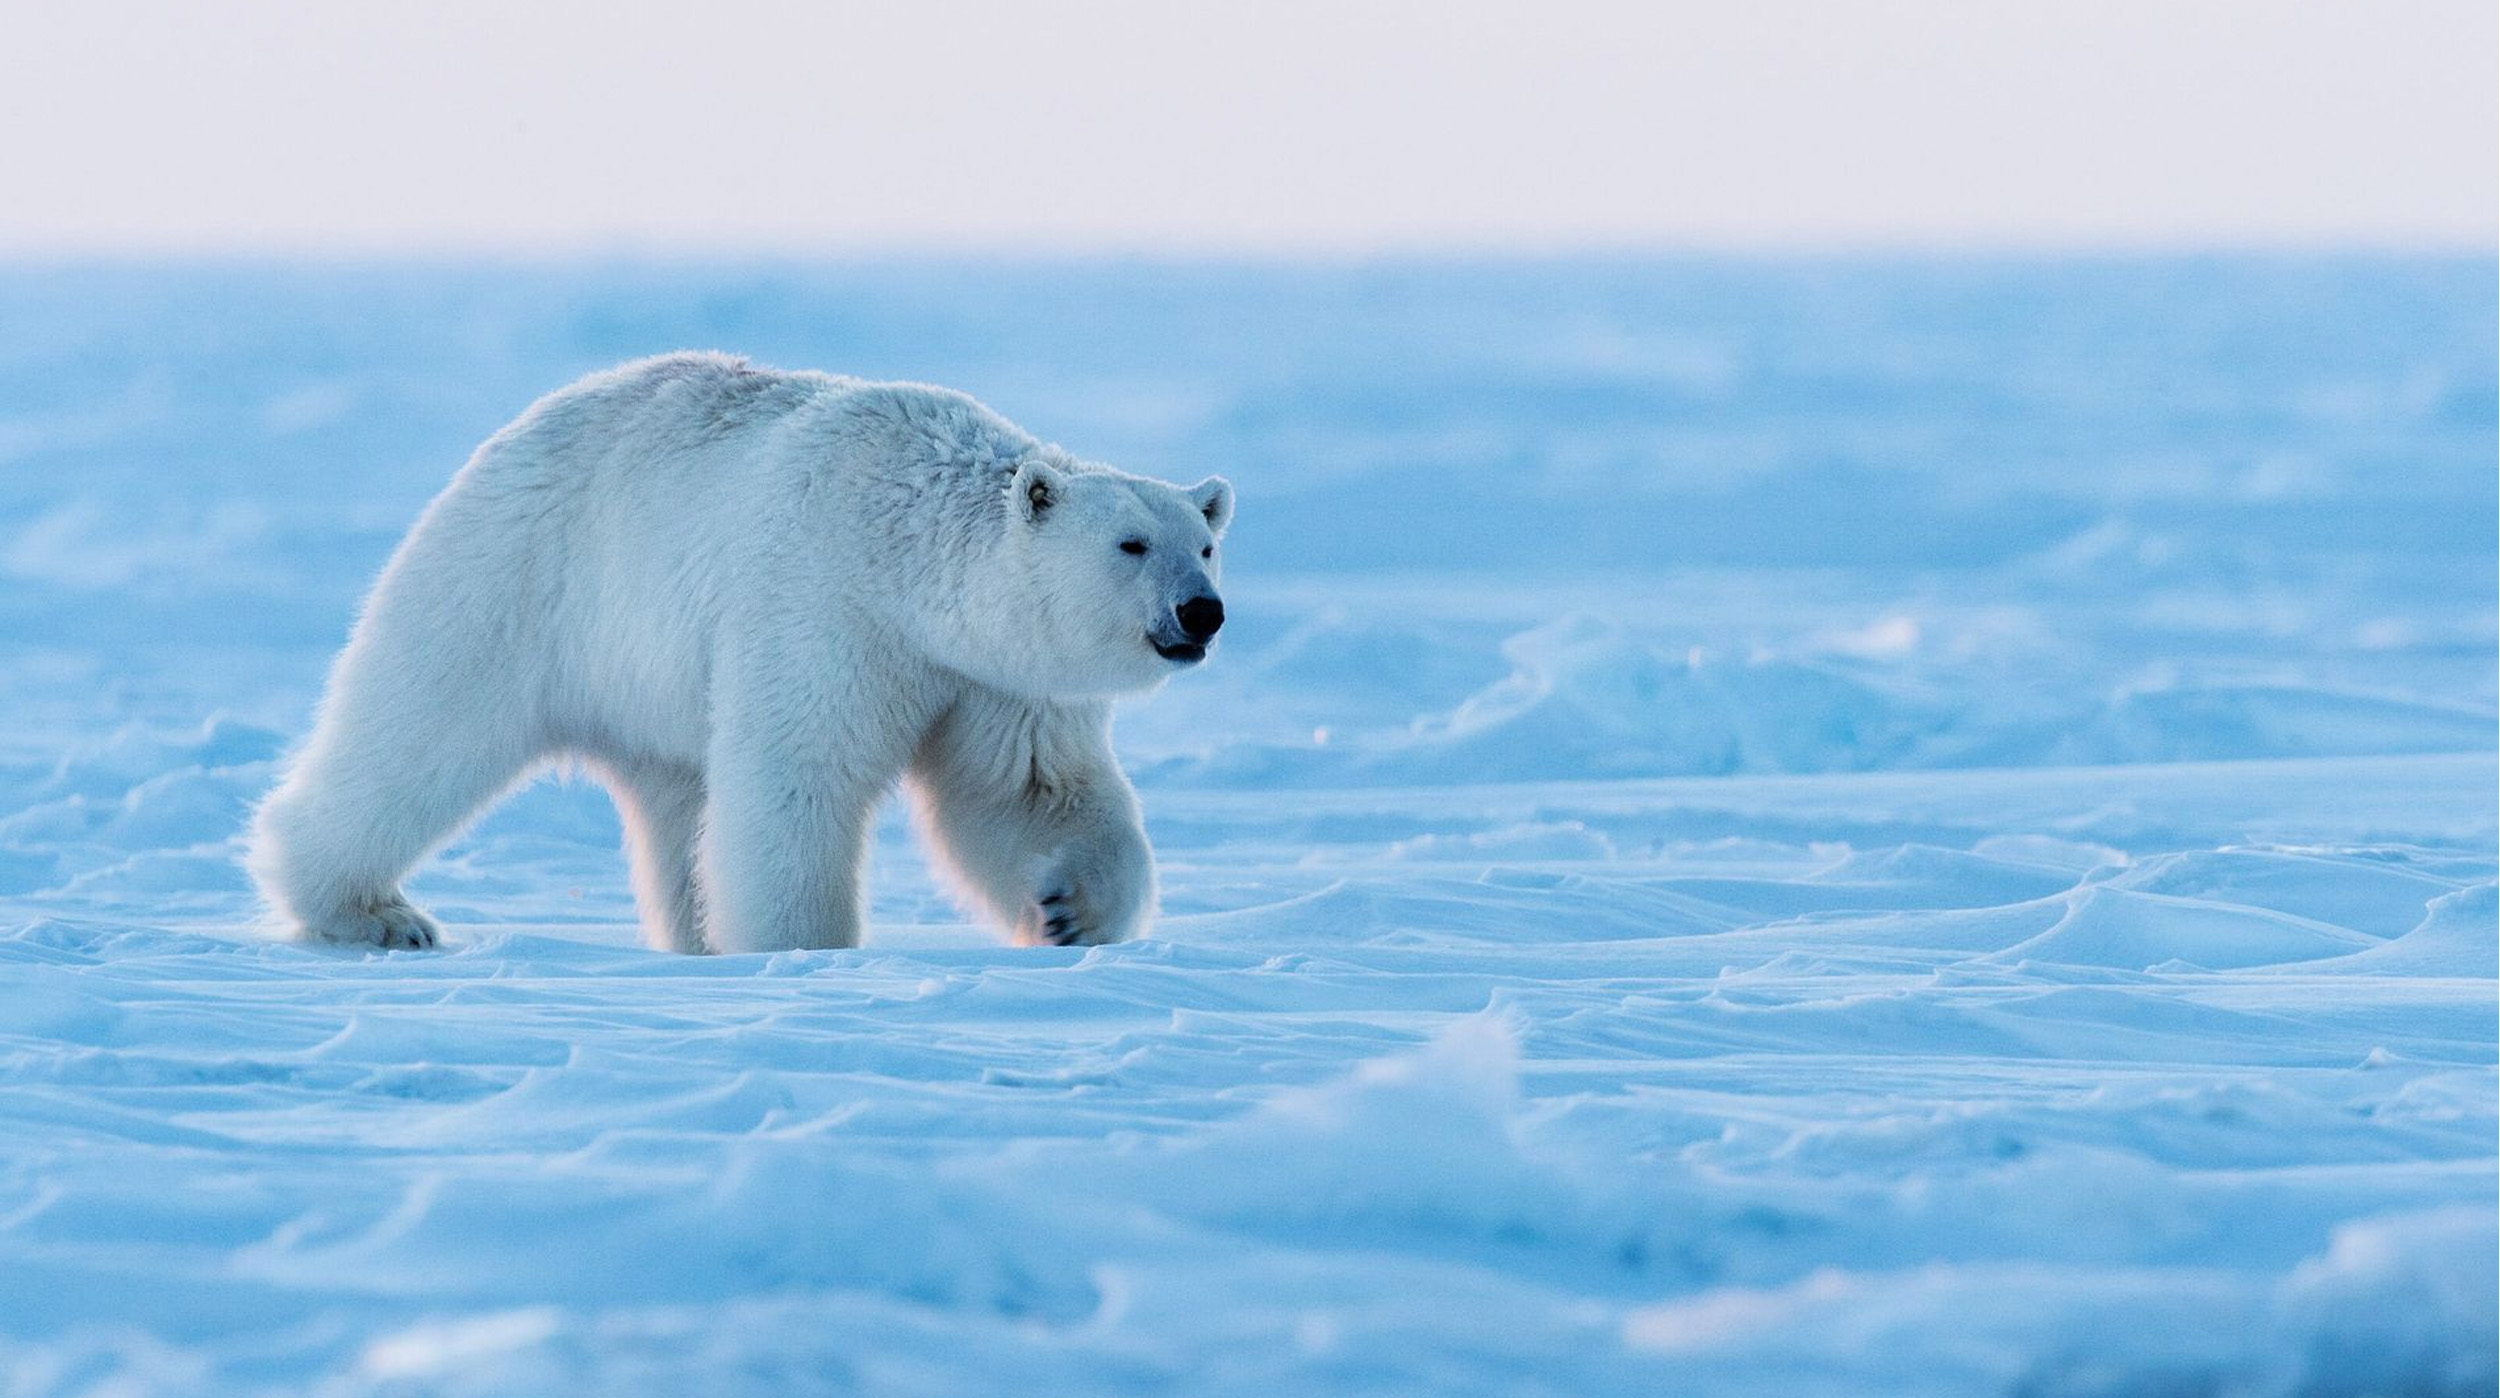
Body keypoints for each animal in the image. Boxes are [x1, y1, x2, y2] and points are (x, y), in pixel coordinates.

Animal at [245, 352, 1231, 954]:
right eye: (1131, 544)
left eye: (1206, 542)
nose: (1202, 612)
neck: (904, 551)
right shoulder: (827, 607)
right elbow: (796, 777)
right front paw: (805, 946)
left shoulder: (994, 678)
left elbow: (1029, 790)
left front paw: (1070, 908)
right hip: (518, 584)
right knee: (418, 730)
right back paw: (373, 913)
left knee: (678, 806)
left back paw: (694, 937)